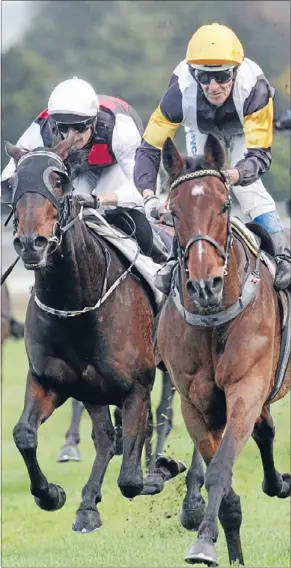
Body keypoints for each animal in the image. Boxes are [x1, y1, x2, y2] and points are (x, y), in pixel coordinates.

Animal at [3, 135, 184, 536]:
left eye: (59, 182)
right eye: (13, 183)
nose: (31, 243)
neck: (78, 303)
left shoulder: (136, 388)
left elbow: (131, 479)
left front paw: (163, 468)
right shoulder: (52, 381)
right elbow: (24, 434)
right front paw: (51, 494)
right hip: (93, 388)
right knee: (104, 437)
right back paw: (87, 505)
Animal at [159, 135, 290, 564]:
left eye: (224, 205)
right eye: (173, 211)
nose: (205, 285)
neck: (214, 320)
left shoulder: (245, 389)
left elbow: (220, 468)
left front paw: (202, 543)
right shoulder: (195, 404)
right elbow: (224, 479)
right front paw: (217, 545)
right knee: (266, 431)